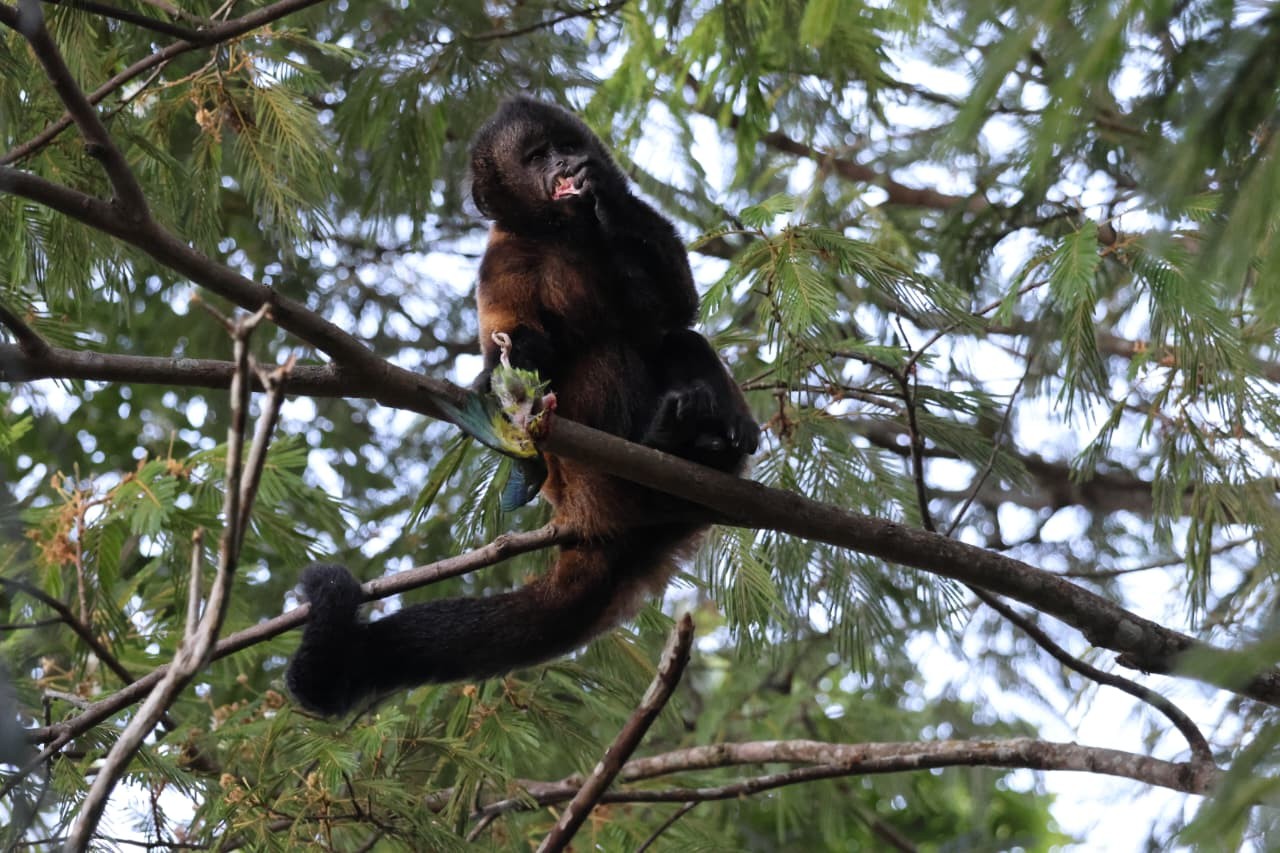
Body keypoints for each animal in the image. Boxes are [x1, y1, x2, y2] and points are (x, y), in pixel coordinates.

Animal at [285, 96, 759, 717]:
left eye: (566, 144)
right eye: (536, 156)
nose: (566, 162)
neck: (560, 234)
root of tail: (585, 517)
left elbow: (678, 304)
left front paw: (608, 194)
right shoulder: (500, 260)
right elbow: (514, 361)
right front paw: (508, 365)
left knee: (675, 338)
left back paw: (712, 440)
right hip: (590, 473)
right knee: (612, 351)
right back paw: (662, 439)